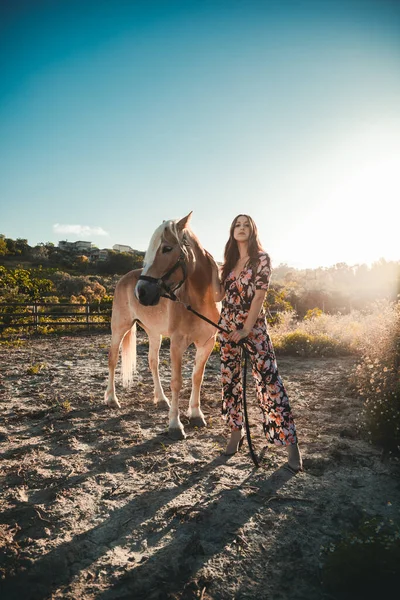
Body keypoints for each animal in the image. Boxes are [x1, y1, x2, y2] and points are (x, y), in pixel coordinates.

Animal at [104, 213, 220, 438]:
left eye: (167, 248)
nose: (141, 292)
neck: (199, 300)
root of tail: (124, 279)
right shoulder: (177, 343)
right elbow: (177, 382)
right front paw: (175, 425)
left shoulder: (207, 343)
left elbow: (197, 377)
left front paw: (196, 414)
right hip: (120, 328)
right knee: (113, 359)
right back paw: (112, 399)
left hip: (154, 333)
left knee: (153, 362)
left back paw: (160, 399)